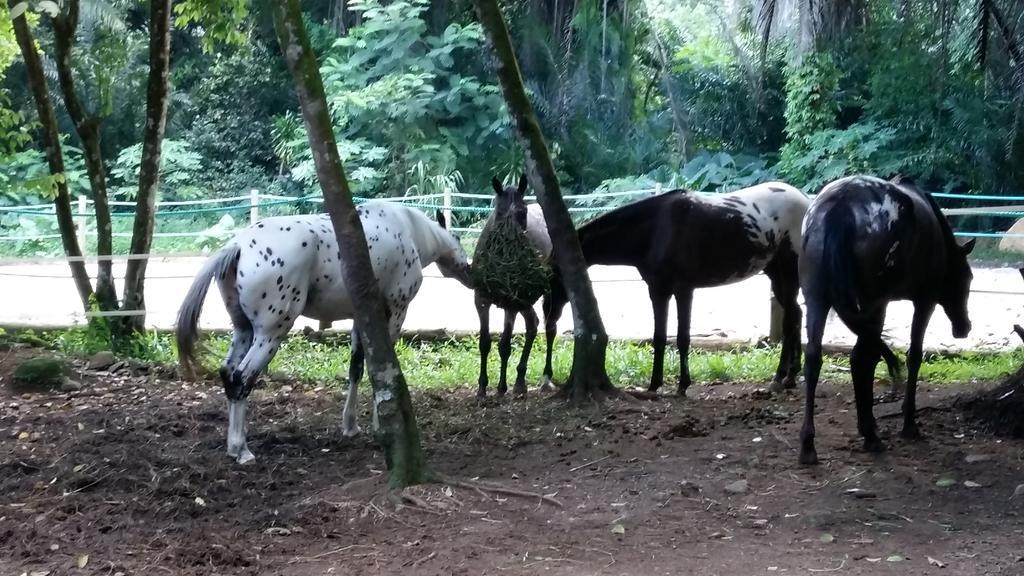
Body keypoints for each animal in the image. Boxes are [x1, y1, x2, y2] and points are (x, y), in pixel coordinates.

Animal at [178, 200, 473, 461]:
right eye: (458, 238)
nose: (470, 271)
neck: (408, 228)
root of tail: (237, 245)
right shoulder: (395, 312)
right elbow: (384, 370)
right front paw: (381, 427)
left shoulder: (361, 319)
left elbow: (357, 368)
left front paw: (350, 426)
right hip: (269, 334)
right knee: (242, 377)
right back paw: (242, 451)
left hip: (244, 330)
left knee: (228, 374)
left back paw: (232, 445)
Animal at [540, 181, 811, 391]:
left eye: (554, 276)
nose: (548, 315)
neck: (656, 230)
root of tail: (806, 201)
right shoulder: (658, 290)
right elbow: (659, 337)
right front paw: (654, 384)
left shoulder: (683, 290)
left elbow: (682, 337)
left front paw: (682, 384)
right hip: (776, 274)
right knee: (795, 315)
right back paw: (788, 376)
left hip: (788, 272)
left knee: (791, 319)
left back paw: (782, 377)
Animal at [798, 172, 974, 463]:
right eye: (968, 278)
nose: (964, 327)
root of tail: (839, 207)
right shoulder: (925, 301)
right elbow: (914, 355)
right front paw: (909, 423)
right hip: (874, 304)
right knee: (862, 358)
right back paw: (870, 435)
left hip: (817, 299)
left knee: (814, 358)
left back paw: (809, 445)